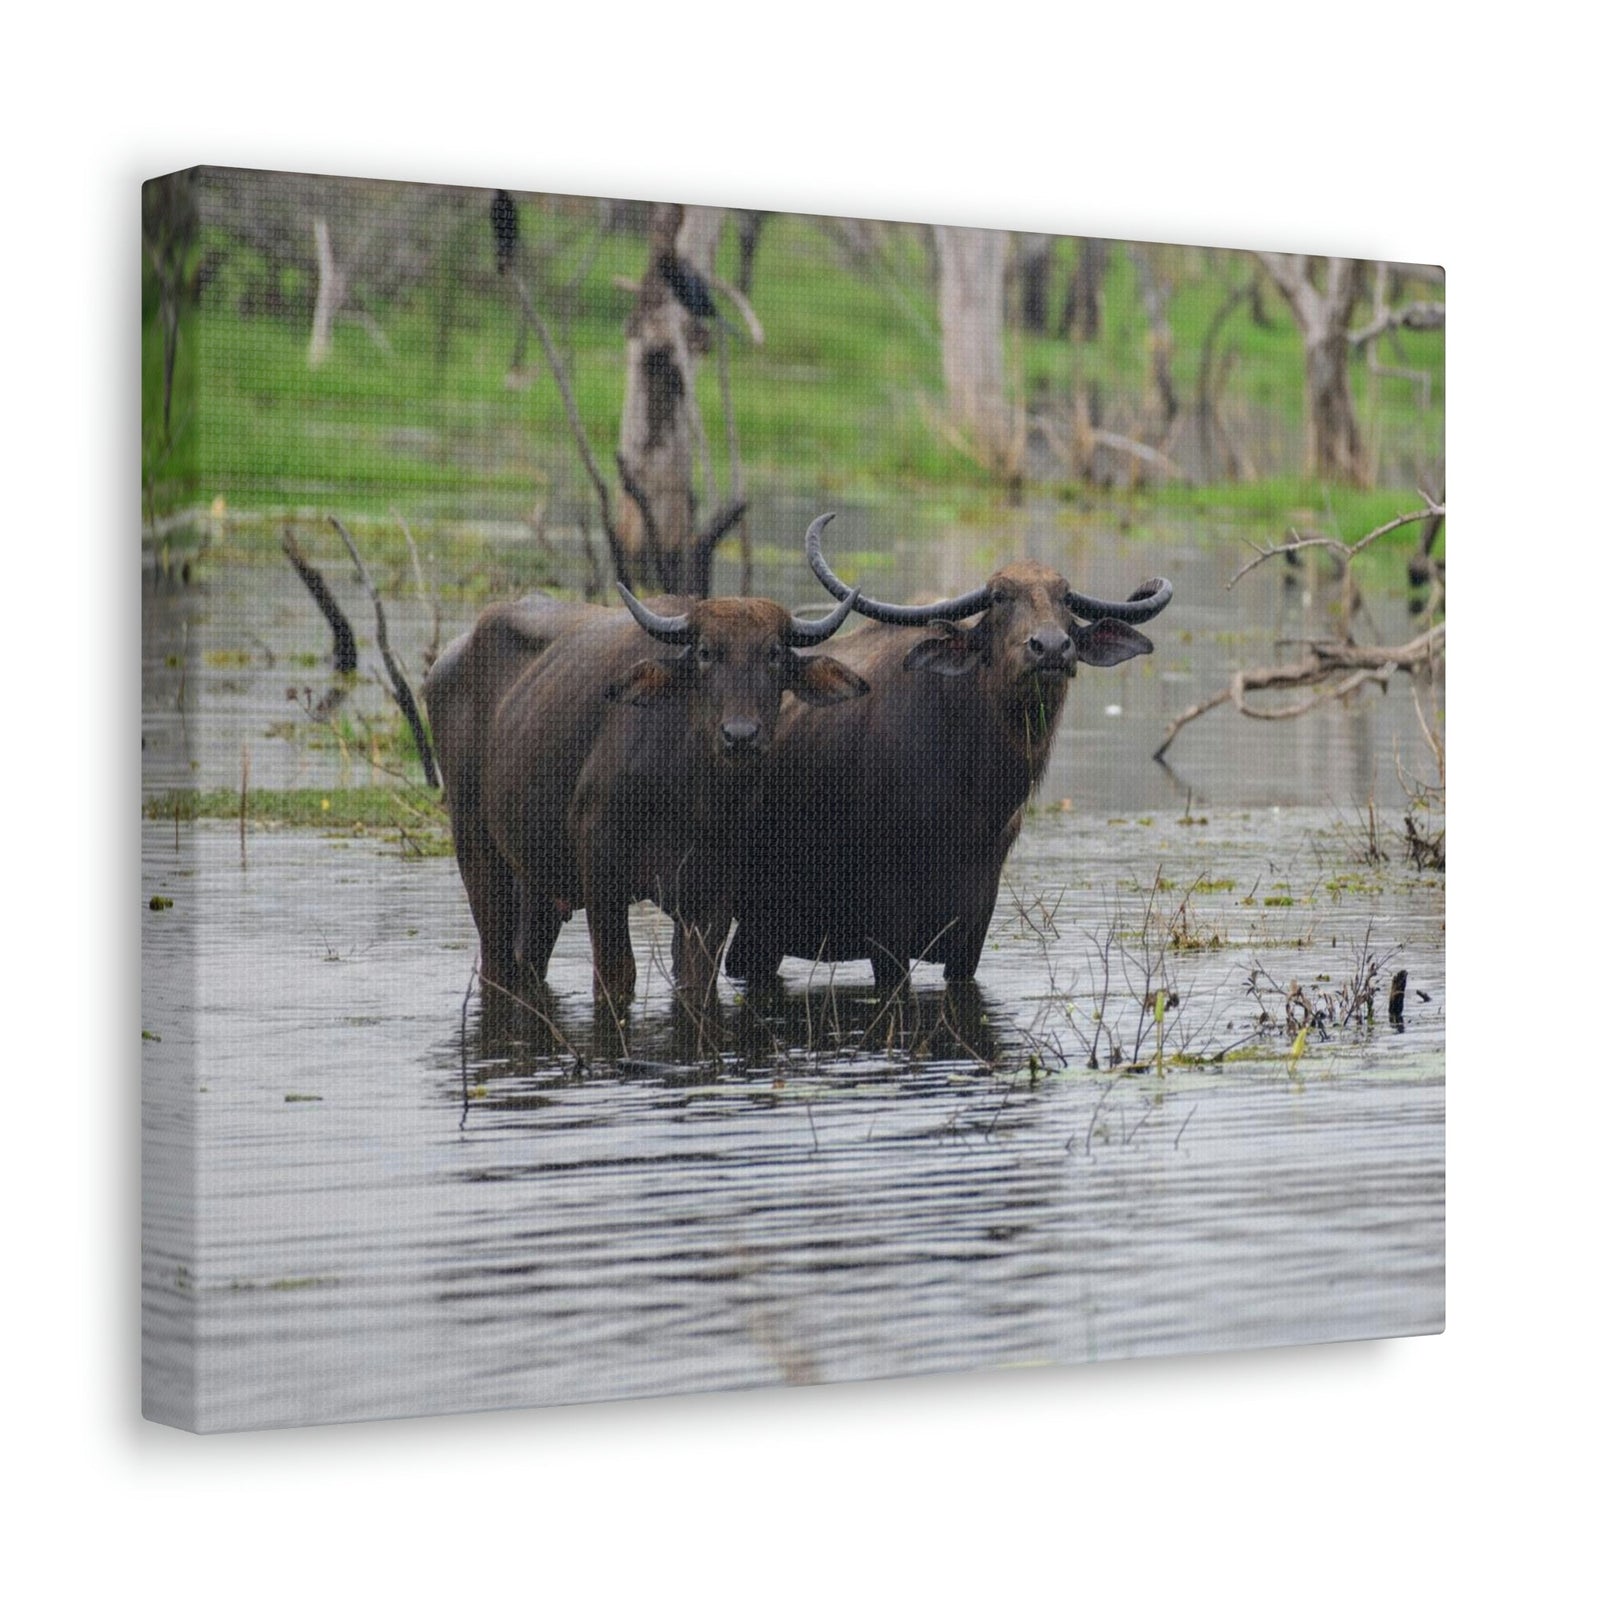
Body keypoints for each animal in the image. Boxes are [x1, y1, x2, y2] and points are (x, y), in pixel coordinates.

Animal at [425, 582, 868, 1008]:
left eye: (773, 653)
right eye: (705, 652)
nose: (740, 735)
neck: (694, 796)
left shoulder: (713, 896)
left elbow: (697, 983)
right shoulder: (601, 875)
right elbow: (618, 977)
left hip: (538, 876)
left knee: (527, 958)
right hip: (476, 847)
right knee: (496, 960)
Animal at [725, 515, 1173, 988]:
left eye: (1065, 598)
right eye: (999, 597)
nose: (1051, 648)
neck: (969, 801)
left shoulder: (974, 927)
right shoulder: (886, 926)